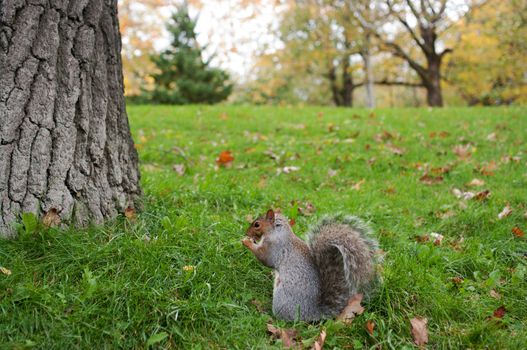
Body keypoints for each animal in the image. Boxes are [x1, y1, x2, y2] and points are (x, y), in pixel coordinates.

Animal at [243, 209, 380, 322]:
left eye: (257, 224)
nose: (246, 233)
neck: (278, 232)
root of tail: (313, 313)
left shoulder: (274, 248)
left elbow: (265, 259)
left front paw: (247, 242)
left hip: (282, 298)